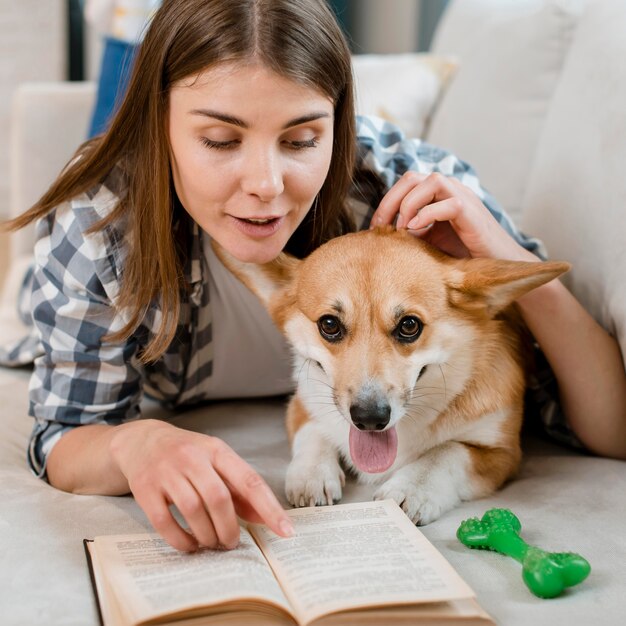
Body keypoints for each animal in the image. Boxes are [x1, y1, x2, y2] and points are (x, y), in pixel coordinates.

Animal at [213, 227, 564, 524]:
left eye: (409, 325)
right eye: (329, 324)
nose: (370, 418)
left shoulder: (503, 453)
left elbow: (447, 451)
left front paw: (411, 489)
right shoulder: (303, 401)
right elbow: (314, 429)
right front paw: (311, 475)